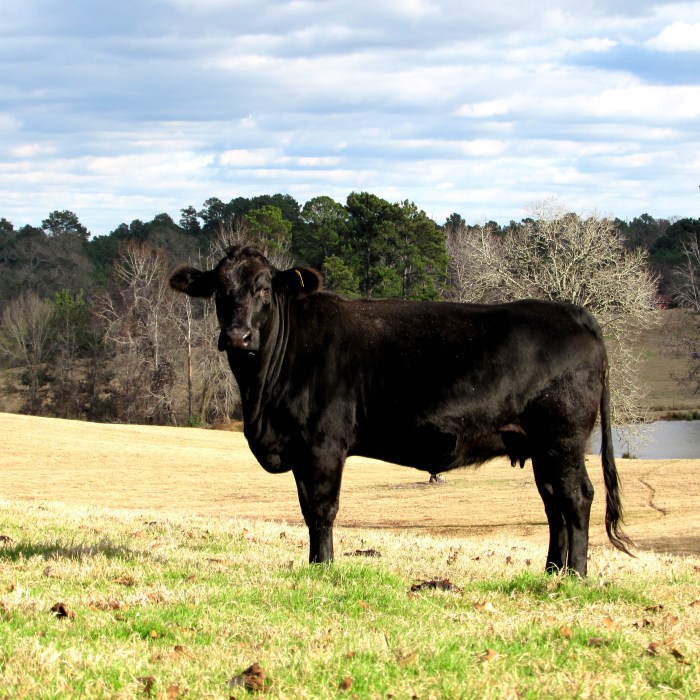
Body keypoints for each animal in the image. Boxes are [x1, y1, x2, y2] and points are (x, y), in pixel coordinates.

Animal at [169, 245, 632, 576]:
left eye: (264, 288)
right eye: (219, 289)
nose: (237, 336)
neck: (260, 396)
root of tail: (573, 312)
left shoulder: (323, 444)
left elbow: (321, 509)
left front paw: (323, 569)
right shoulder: (302, 450)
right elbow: (306, 508)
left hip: (563, 438)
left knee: (576, 498)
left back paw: (576, 575)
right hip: (541, 445)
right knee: (553, 502)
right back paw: (552, 571)